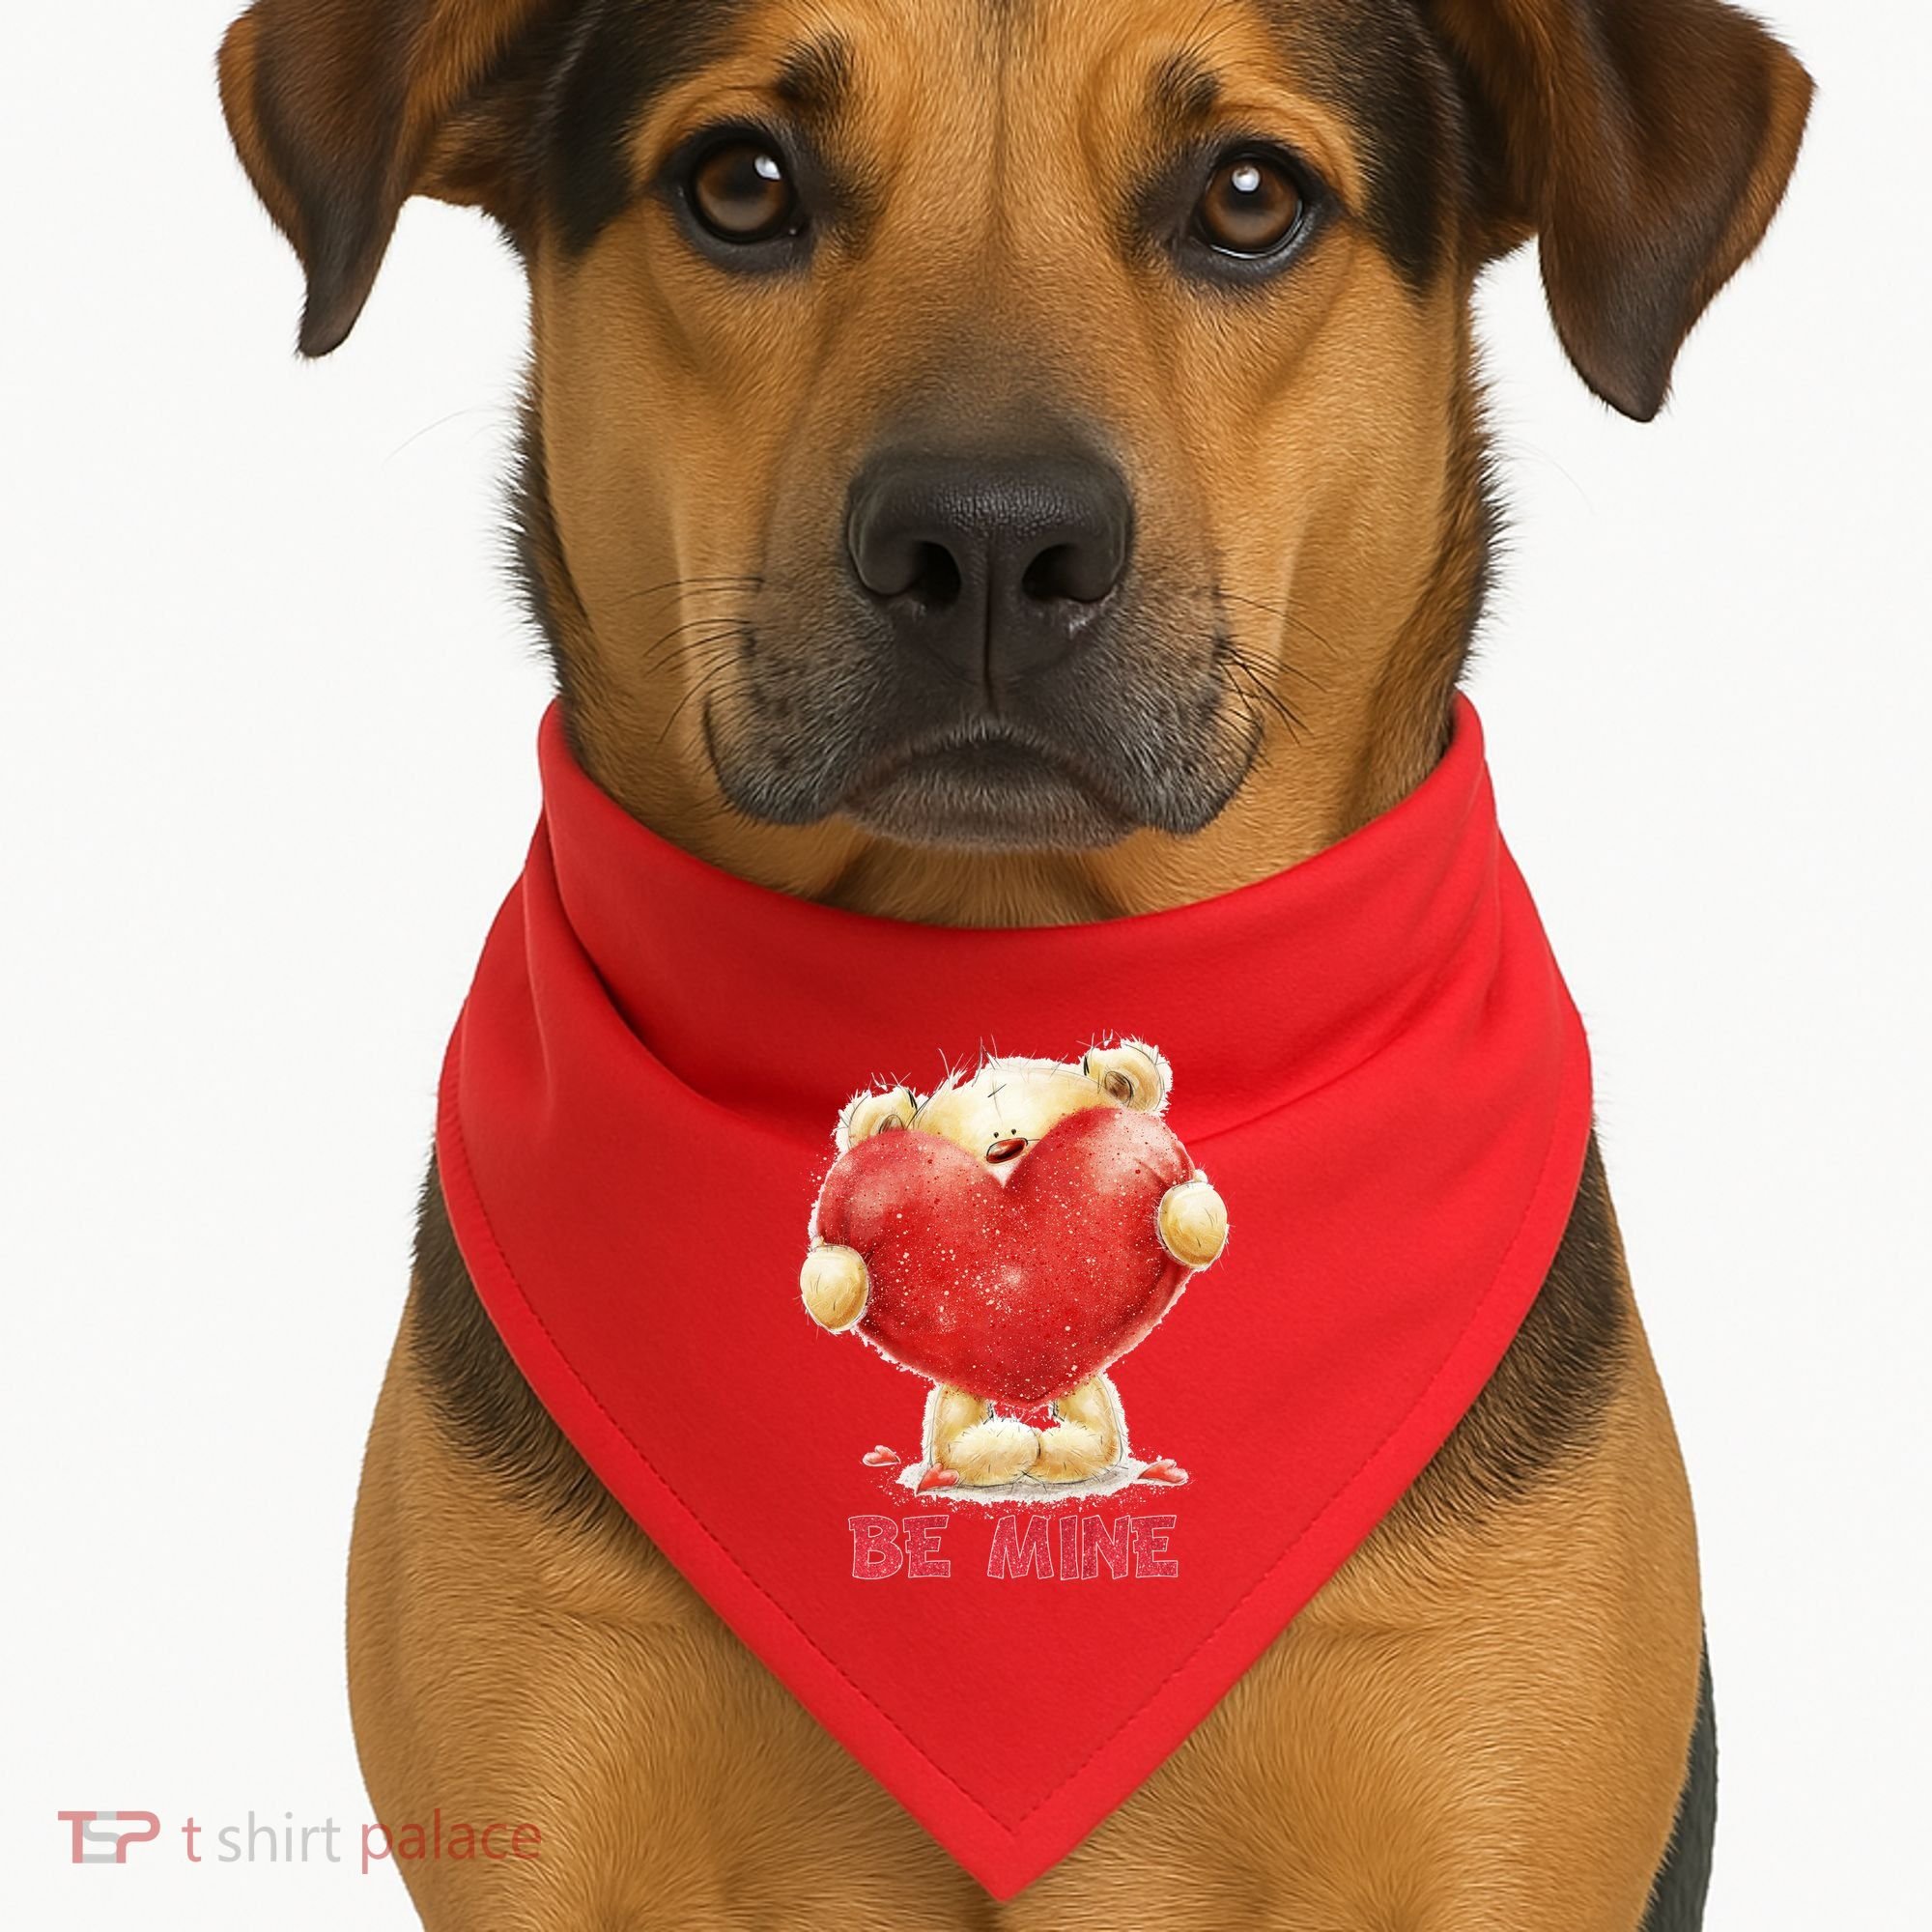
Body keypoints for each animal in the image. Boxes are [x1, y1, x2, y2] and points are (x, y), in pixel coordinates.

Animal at [800, 1041, 1228, 1491]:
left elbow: (1191, 1209)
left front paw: (1192, 1217)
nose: (1005, 1144)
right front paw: (835, 1279)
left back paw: (1058, 1451)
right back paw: (1001, 1450)